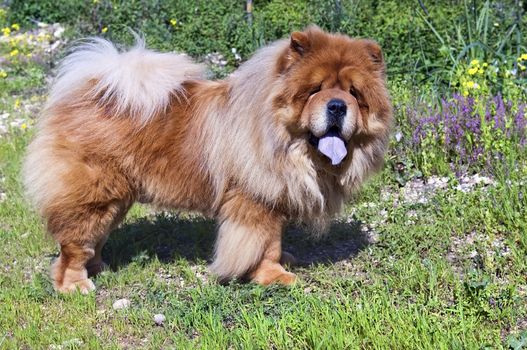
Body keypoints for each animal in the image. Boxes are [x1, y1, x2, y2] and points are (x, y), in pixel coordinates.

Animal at [22, 26, 392, 292]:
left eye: (354, 94)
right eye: (315, 90)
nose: (337, 105)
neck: (286, 142)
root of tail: (89, 91)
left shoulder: (273, 198)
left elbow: (274, 240)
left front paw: (282, 261)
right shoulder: (253, 202)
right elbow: (262, 245)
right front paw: (272, 276)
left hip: (116, 198)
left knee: (94, 238)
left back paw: (100, 268)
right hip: (94, 194)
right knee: (74, 244)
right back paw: (75, 285)